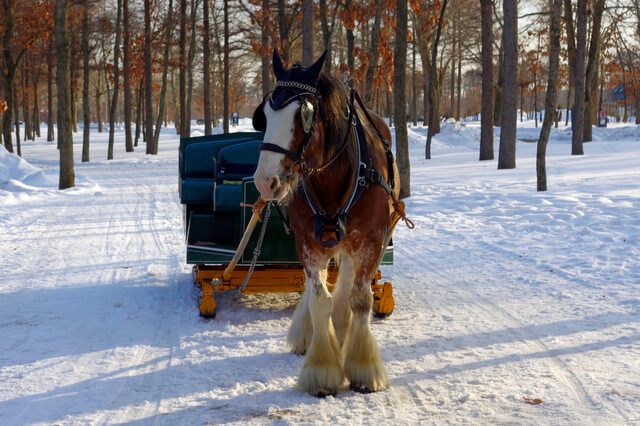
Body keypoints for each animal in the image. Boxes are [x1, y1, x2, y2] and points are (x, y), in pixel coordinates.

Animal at [251, 51, 398, 398]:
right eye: (264, 115)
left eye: (302, 114)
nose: (265, 182)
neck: (334, 174)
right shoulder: (306, 240)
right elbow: (319, 299)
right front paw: (322, 369)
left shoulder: (373, 239)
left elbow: (361, 298)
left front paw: (363, 366)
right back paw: (309, 333)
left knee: (347, 281)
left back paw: (343, 329)